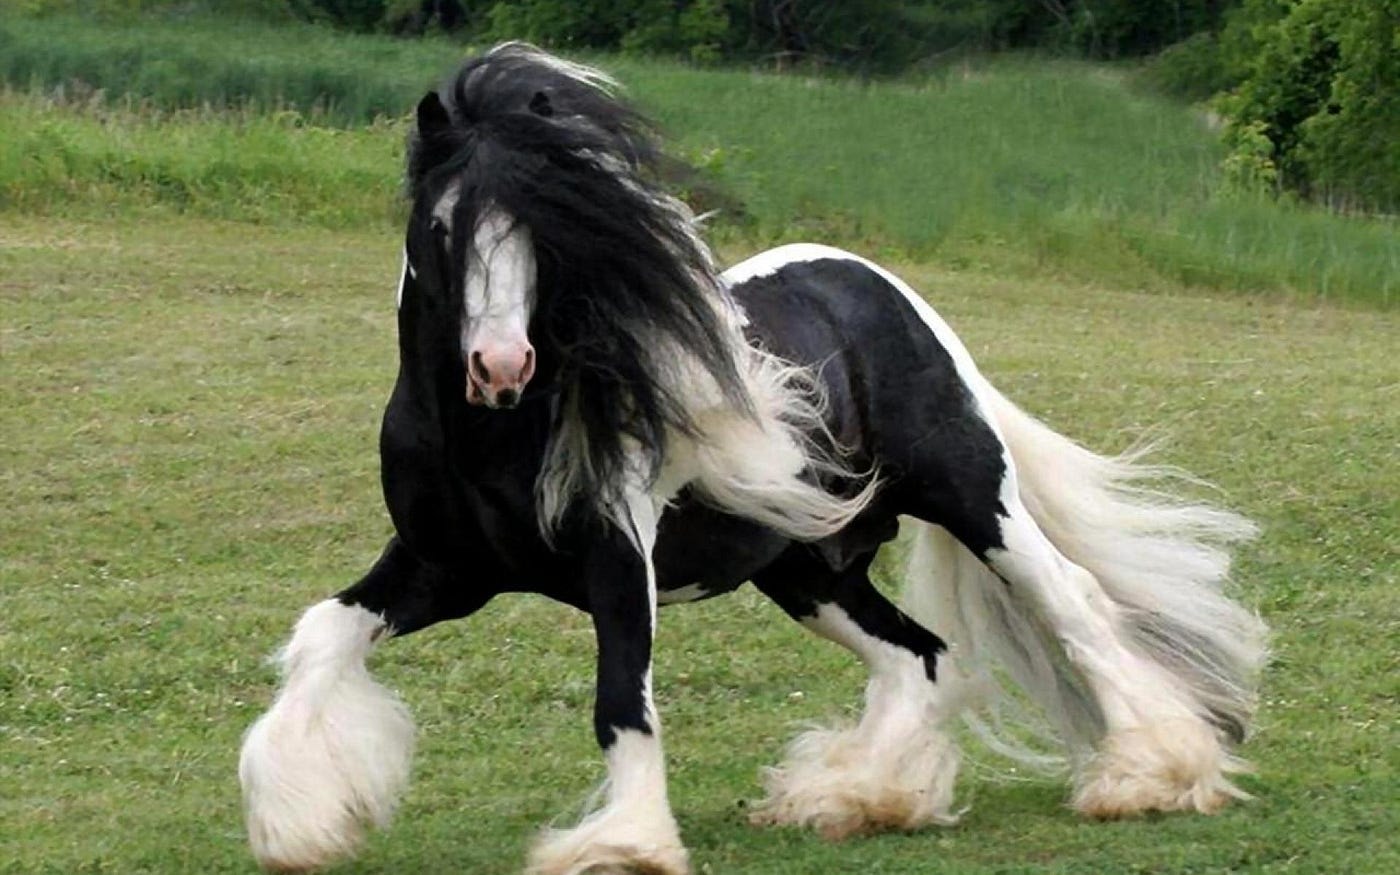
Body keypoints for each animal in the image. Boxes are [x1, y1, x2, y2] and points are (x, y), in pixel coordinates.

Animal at [240, 46, 1271, 873]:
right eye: (444, 227)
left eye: (549, 229)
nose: (500, 366)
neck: (487, 437)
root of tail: (877, 286)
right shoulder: (443, 566)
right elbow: (321, 634)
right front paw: (299, 822)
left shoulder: (616, 563)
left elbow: (622, 701)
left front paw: (626, 846)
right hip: (807, 569)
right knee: (921, 655)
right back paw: (858, 796)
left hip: (973, 495)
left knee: (1075, 606)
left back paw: (1150, 774)